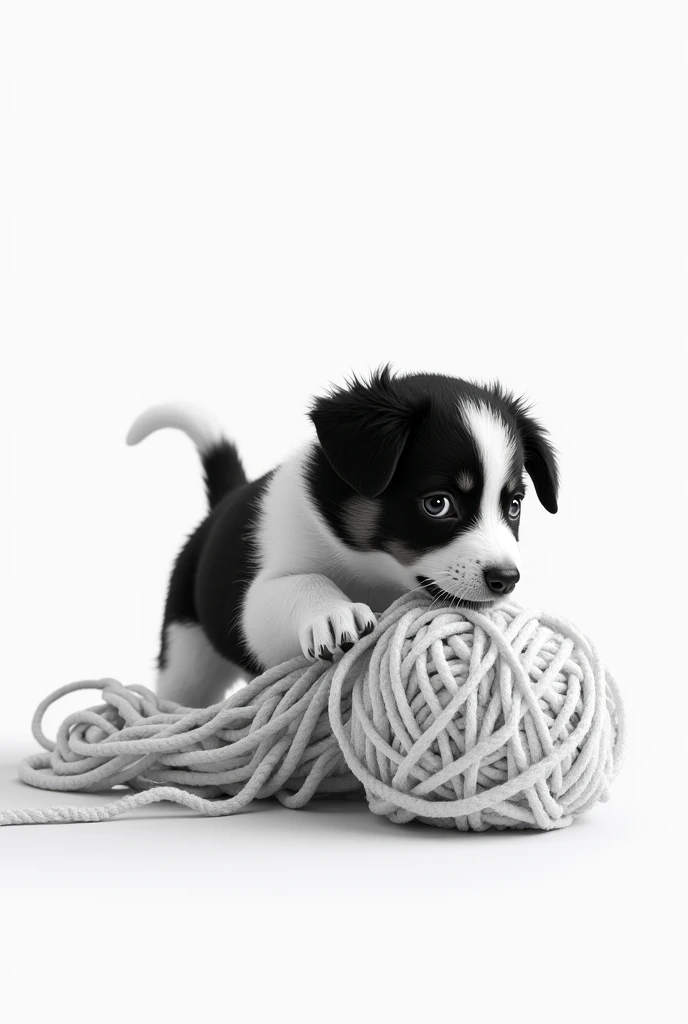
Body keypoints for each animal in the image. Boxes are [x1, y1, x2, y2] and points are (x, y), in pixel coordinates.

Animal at [127, 364, 556, 708]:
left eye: (514, 505)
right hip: (186, 652)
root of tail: (223, 503)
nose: (506, 579)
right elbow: (301, 583)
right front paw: (334, 613)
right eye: (437, 504)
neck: (372, 570)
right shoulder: (255, 605)